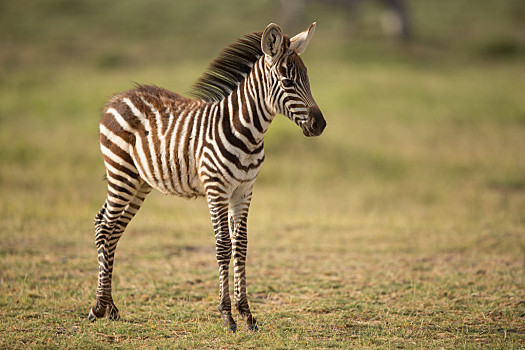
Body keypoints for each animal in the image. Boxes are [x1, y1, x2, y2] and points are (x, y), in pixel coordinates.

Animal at [88, 22, 326, 330]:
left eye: (307, 79)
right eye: (287, 83)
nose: (320, 124)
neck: (247, 132)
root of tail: (119, 97)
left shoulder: (244, 190)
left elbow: (241, 246)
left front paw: (246, 313)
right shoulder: (216, 189)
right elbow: (223, 246)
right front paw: (227, 314)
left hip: (139, 182)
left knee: (111, 227)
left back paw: (111, 307)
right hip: (121, 172)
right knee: (105, 226)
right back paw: (98, 306)